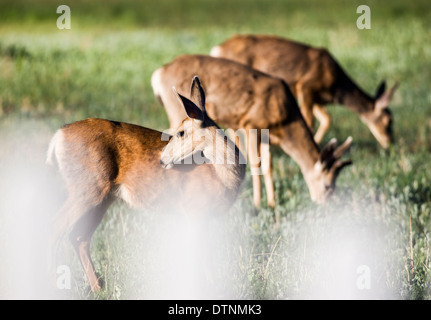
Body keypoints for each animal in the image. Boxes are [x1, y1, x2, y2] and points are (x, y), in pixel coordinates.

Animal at [47, 76, 246, 292]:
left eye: (181, 132)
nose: (162, 159)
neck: (220, 175)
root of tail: (58, 137)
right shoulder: (194, 209)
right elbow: (201, 254)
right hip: (87, 186)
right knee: (55, 227)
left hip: (102, 197)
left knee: (78, 237)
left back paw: (98, 287)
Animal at [150, 53, 352, 209]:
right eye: (328, 186)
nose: (324, 205)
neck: (285, 119)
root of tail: (158, 74)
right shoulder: (250, 124)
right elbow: (256, 162)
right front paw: (257, 204)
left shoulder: (266, 133)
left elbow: (268, 164)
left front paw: (272, 203)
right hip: (175, 110)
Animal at [211, 33, 400, 149]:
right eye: (388, 121)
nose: (390, 143)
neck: (336, 89)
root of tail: (216, 49)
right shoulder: (306, 86)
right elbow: (310, 121)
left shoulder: (316, 98)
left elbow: (327, 119)